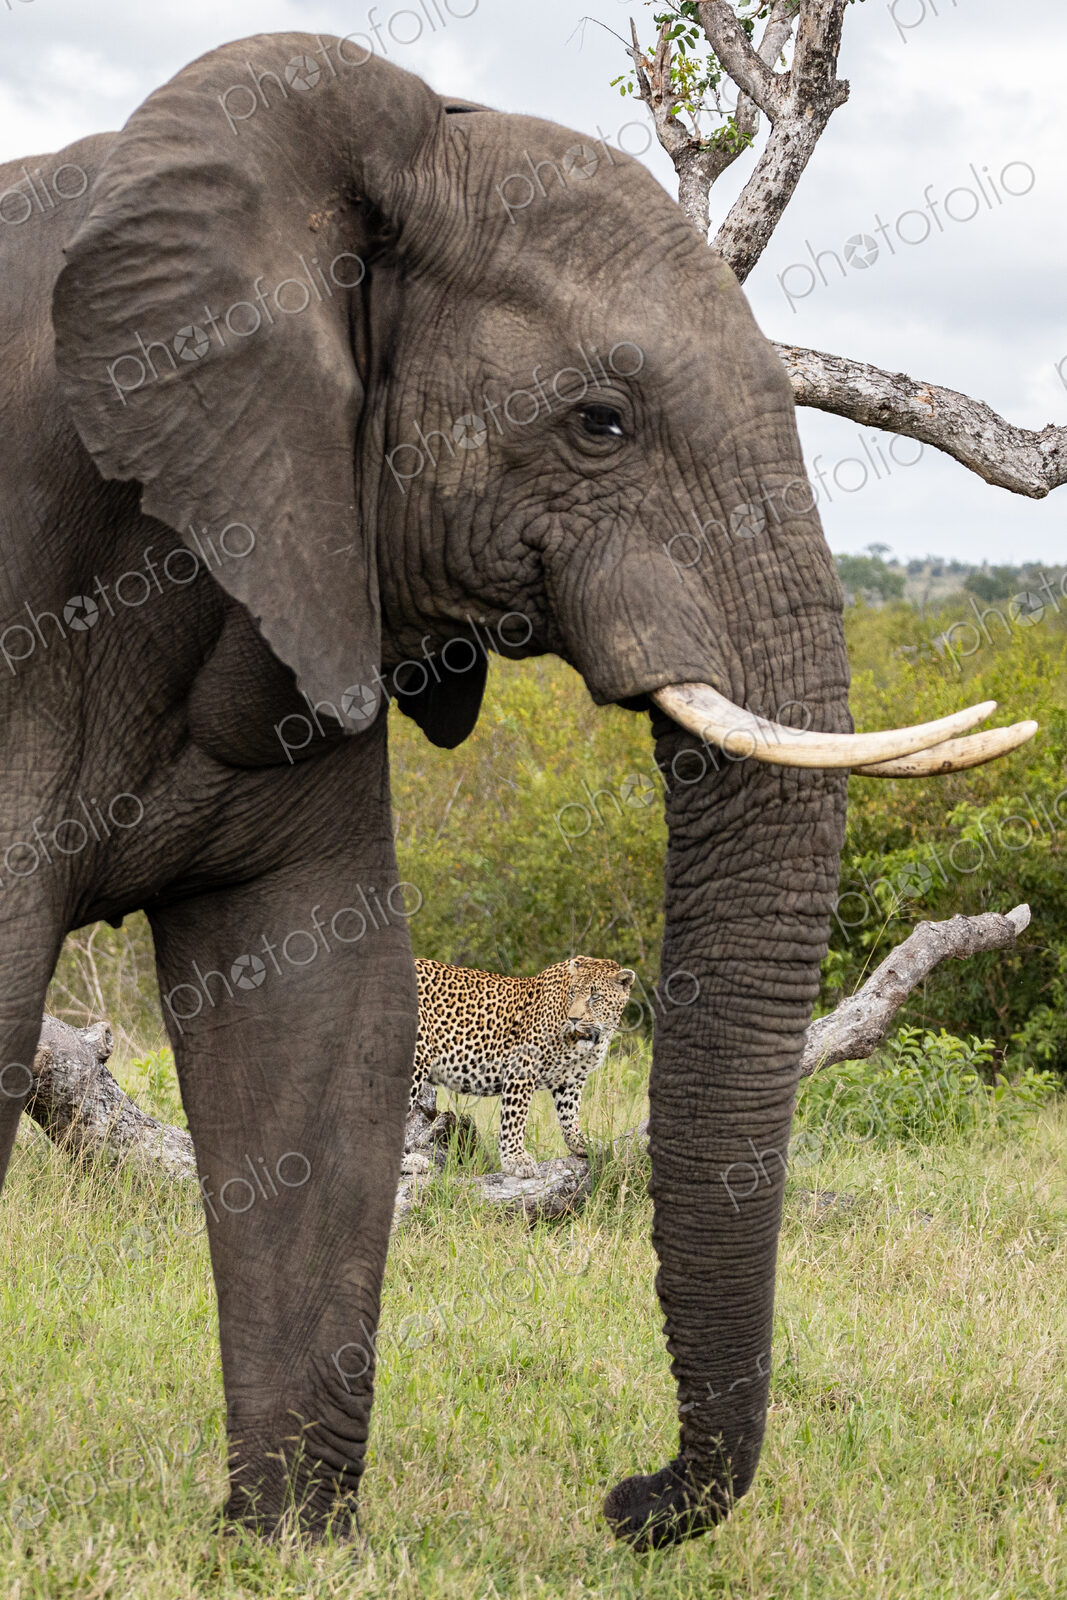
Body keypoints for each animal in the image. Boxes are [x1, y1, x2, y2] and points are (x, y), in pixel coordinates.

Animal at [408, 956, 636, 1178]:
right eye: (573, 994)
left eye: (595, 997)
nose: (573, 1019)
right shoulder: (522, 1065)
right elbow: (515, 1116)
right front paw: (516, 1159)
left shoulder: (572, 1078)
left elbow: (570, 1113)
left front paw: (580, 1144)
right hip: (416, 1056)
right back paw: (411, 1162)